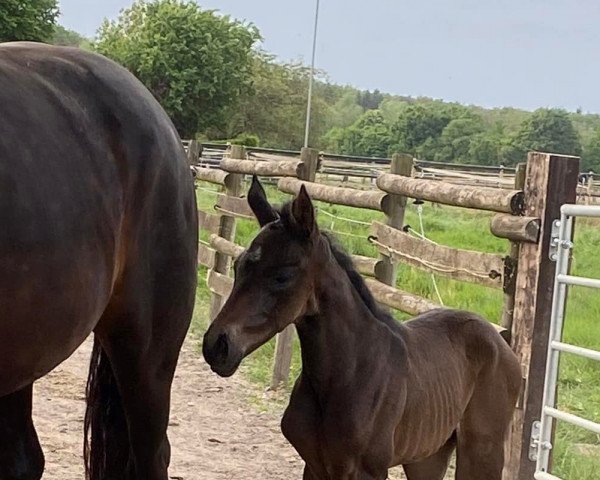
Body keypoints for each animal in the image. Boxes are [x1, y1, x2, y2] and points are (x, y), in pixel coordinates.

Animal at [204, 179, 524, 480]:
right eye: (238, 265)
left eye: (282, 276)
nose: (216, 346)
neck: (346, 374)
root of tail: (501, 341)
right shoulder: (314, 466)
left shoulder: (366, 470)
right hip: (427, 455)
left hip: (481, 450)